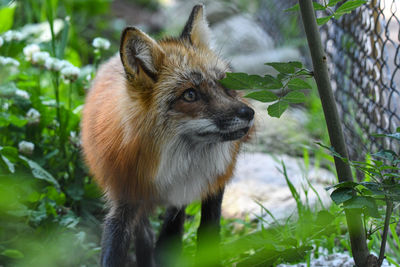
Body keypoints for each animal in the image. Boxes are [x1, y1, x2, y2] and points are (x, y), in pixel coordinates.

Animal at [81, 4, 255, 267]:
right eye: (190, 95)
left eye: (225, 84)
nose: (249, 113)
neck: (172, 166)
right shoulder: (124, 200)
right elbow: (116, 250)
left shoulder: (208, 189)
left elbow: (206, 235)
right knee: (146, 235)